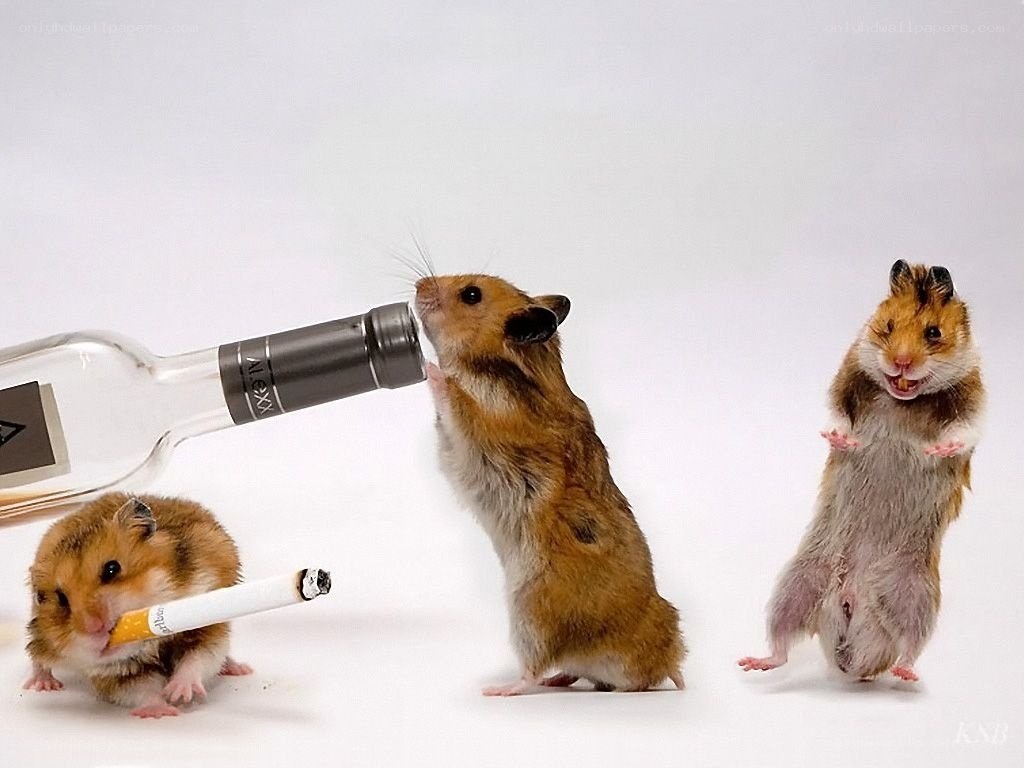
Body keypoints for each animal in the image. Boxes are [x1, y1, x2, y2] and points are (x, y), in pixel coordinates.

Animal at [23, 492, 252, 717]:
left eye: (112, 569)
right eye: (61, 599)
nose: (93, 628)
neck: (149, 645)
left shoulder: (206, 631)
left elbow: (197, 660)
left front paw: (177, 693)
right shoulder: (114, 675)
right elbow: (143, 689)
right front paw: (161, 710)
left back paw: (241, 669)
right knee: (39, 659)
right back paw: (43, 685)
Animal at [415, 274, 685, 695]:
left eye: (471, 294)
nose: (417, 285)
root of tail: (655, 665)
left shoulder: (482, 423)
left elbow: (455, 396)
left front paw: (429, 366)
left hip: (533, 611)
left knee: (533, 667)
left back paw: (499, 690)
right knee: (570, 669)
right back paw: (559, 680)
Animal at [739, 261, 984, 681]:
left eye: (933, 333)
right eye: (886, 326)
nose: (901, 362)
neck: (903, 397)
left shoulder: (973, 400)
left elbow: (963, 432)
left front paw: (936, 449)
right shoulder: (845, 381)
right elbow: (837, 415)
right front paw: (841, 441)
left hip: (915, 593)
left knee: (909, 644)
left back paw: (905, 674)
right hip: (798, 583)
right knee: (782, 644)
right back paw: (752, 663)